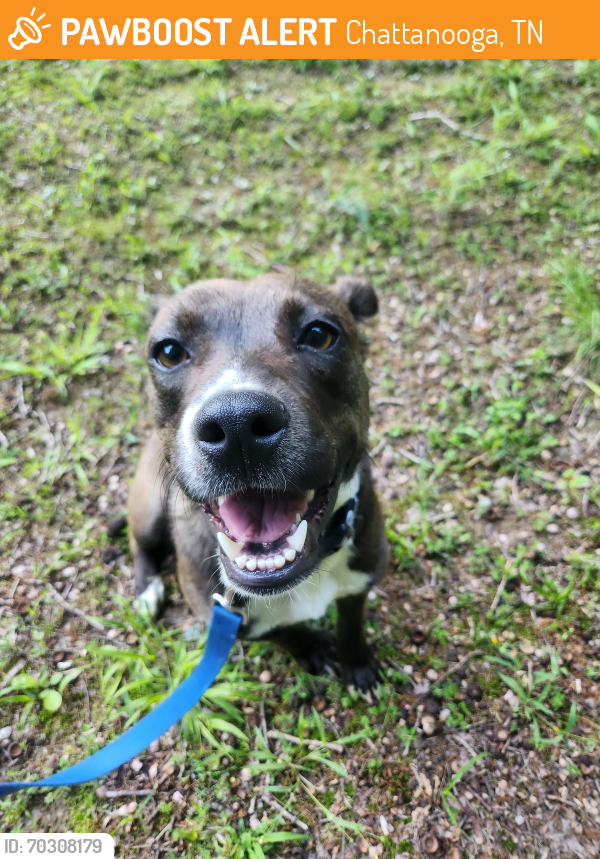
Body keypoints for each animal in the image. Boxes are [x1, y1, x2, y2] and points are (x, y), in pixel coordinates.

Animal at [127, 276, 390, 692]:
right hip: (151, 507)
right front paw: (312, 648)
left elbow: (351, 623)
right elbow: (284, 634)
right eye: (168, 352)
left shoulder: (362, 578)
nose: (236, 424)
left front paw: (358, 664)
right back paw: (146, 589)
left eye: (319, 335)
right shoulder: (228, 619)